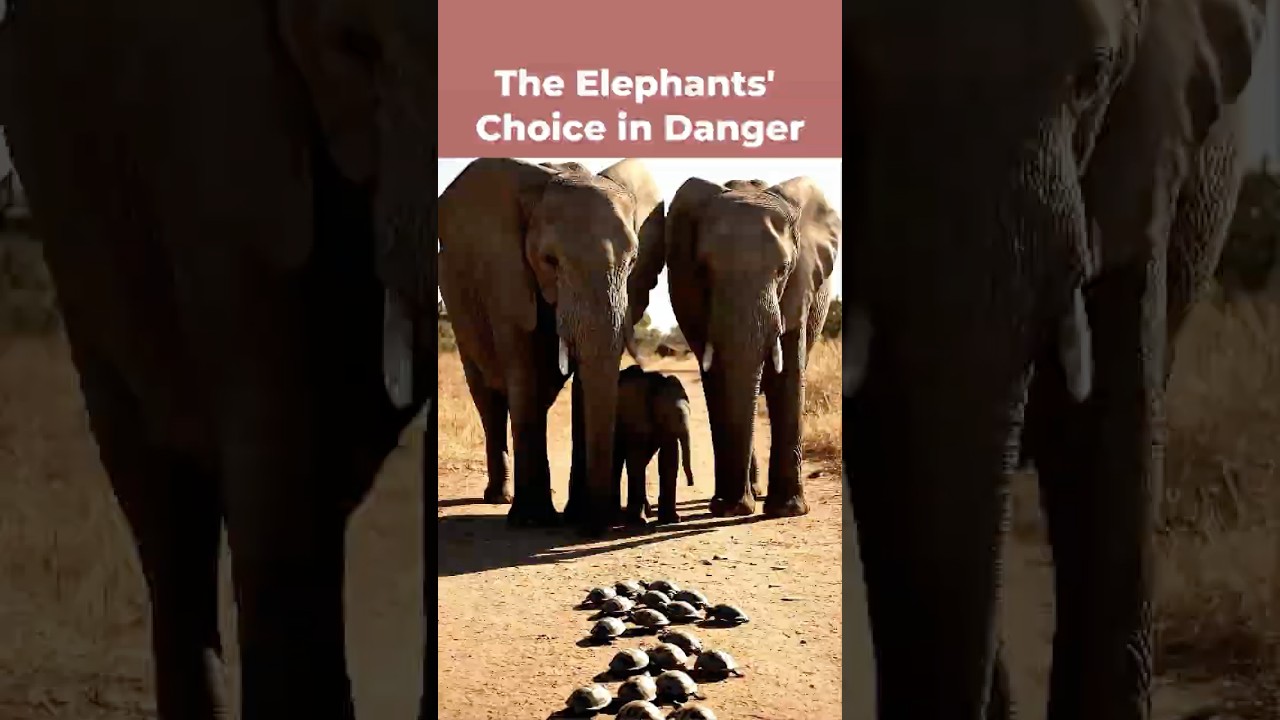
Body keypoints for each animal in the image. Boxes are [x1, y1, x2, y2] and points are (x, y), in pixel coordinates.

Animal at [436, 158, 666, 534]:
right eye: (549, 261)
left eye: (632, 262)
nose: (598, 526)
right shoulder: (505, 276)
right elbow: (522, 367)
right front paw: (532, 521)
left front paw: (577, 516)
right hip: (459, 310)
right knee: (487, 396)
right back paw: (500, 498)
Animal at [613, 364, 696, 525]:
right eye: (665, 415)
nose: (690, 483)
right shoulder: (635, 416)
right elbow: (636, 458)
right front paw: (638, 522)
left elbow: (669, 458)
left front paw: (672, 520)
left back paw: (647, 512)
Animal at [666, 176, 841, 518]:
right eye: (704, 269)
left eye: (783, 270)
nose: (734, 507)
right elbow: (717, 381)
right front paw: (727, 509)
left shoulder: (799, 287)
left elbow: (788, 372)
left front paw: (787, 510)